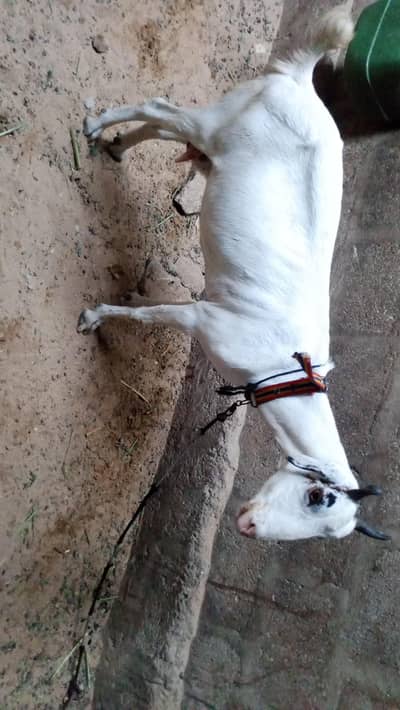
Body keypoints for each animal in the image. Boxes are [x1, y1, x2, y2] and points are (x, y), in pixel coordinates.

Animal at [78, 6, 389, 542]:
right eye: (316, 496)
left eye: (326, 535)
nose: (249, 527)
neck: (285, 369)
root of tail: (300, 81)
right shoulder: (206, 321)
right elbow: (149, 317)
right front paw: (95, 317)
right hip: (220, 122)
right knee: (161, 109)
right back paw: (95, 124)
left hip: (217, 138)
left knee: (168, 130)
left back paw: (116, 147)